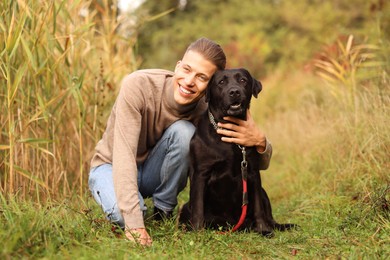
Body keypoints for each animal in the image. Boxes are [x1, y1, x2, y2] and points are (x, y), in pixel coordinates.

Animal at [178, 68, 294, 235]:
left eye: (243, 80)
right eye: (221, 82)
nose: (234, 92)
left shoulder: (252, 172)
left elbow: (258, 206)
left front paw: (263, 229)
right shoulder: (201, 173)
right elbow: (198, 207)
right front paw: (198, 231)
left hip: (263, 192)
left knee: (269, 216)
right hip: (186, 207)